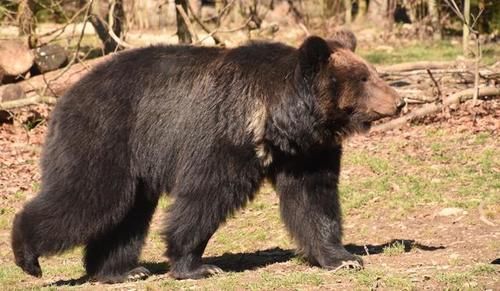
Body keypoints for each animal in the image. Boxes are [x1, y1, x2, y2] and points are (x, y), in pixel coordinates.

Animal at [10, 30, 402, 282]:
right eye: (364, 77)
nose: (399, 101)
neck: (276, 119)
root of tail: (66, 95)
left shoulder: (306, 152)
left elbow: (313, 200)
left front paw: (343, 258)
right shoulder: (222, 137)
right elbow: (205, 195)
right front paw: (196, 265)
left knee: (126, 213)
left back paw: (120, 271)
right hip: (106, 136)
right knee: (90, 198)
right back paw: (29, 257)